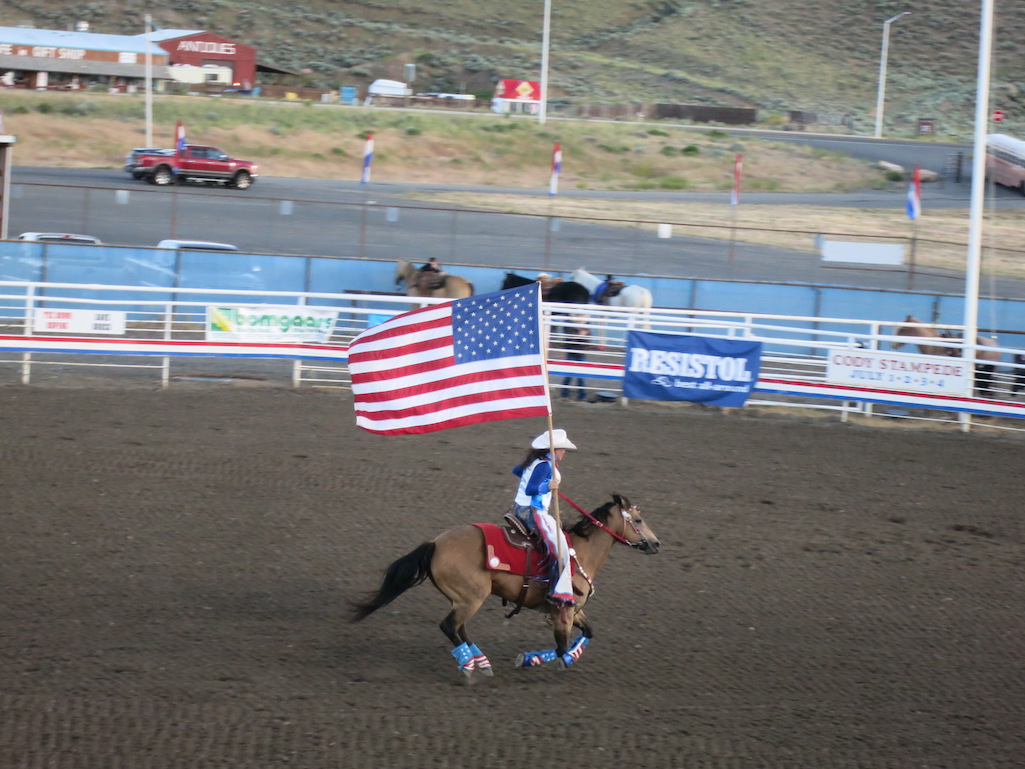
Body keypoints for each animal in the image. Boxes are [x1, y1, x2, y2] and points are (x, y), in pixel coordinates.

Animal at [348, 494, 660, 680]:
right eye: (639, 520)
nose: (656, 543)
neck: (578, 552)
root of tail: (435, 544)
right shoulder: (563, 610)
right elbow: (561, 647)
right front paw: (533, 660)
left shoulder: (574, 609)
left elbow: (588, 633)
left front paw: (554, 656)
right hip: (471, 598)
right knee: (450, 627)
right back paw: (469, 667)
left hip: (463, 599)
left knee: (459, 629)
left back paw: (482, 662)